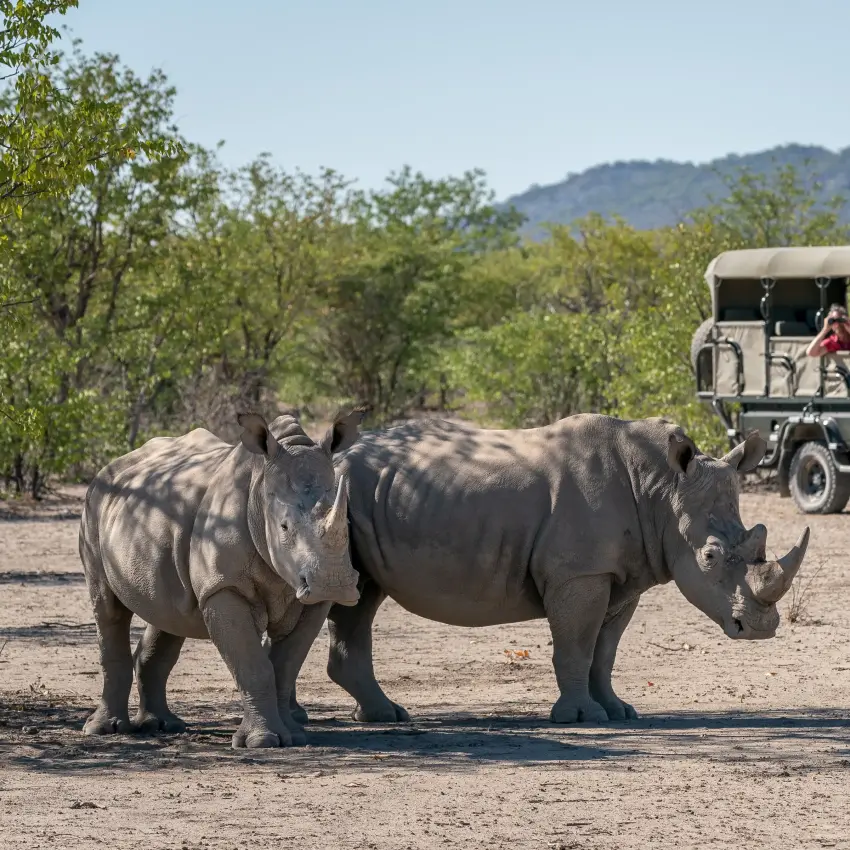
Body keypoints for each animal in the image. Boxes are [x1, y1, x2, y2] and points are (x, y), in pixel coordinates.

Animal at [78, 409, 363, 748]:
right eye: (283, 527)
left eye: (348, 523)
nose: (333, 584)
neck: (259, 492)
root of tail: (111, 466)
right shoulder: (223, 587)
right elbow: (254, 665)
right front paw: (262, 742)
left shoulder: (312, 600)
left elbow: (285, 666)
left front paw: (294, 736)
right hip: (93, 506)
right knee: (108, 608)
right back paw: (104, 729)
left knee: (168, 613)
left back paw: (162, 725)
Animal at [290, 413, 810, 725]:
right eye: (709, 557)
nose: (760, 628)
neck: (662, 490)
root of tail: (334, 456)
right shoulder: (579, 573)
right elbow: (576, 646)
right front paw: (581, 718)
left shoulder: (620, 575)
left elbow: (604, 652)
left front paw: (618, 711)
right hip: (339, 501)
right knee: (348, 599)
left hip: (363, 502)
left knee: (362, 597)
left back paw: (381, 716)